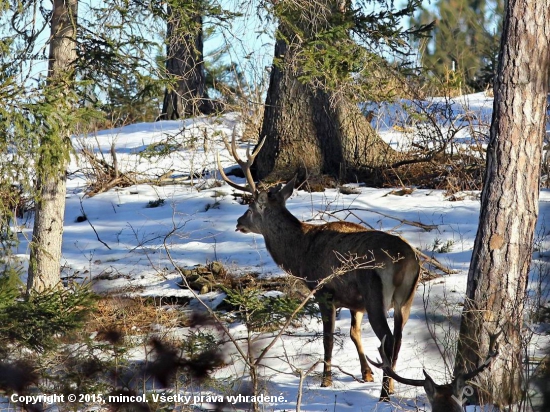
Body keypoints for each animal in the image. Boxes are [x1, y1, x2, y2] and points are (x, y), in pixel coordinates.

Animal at [218, 134, 420, 400]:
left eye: (250, 208)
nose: (238, 221)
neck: (301, 254)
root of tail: (407, 262)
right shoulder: (354, 301)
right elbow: (354, 332)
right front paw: (366, 374)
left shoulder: (323, 290)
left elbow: (328, 338)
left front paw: (326, 380)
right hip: (406, 298)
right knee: (397, 339)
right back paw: (392, 385)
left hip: (375, 292)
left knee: (386, 340)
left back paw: (385, 393)